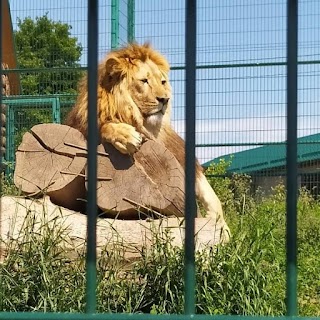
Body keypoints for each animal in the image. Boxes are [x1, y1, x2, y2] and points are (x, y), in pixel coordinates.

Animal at [65, 43, 230, 242]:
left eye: (163, 82)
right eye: (144, 81)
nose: (165, 99)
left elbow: (210, 195)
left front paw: (221, 227)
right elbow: (106, 127)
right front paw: (126, 136)